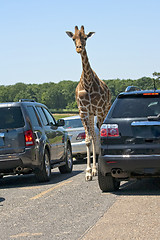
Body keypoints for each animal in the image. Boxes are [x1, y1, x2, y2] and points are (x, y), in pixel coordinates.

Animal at [66, 25, 111, 180]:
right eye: (73, 38)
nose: (79, 48)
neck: (88, 83)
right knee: (92, 136)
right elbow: (87, 140)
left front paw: (96, 169)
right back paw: (92, 169)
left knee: (98, 136)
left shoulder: (99, 110)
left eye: (85, 37)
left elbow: (98, 137)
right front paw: (88, 172)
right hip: (91, 115)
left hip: (103, 111)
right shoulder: (84, 111)